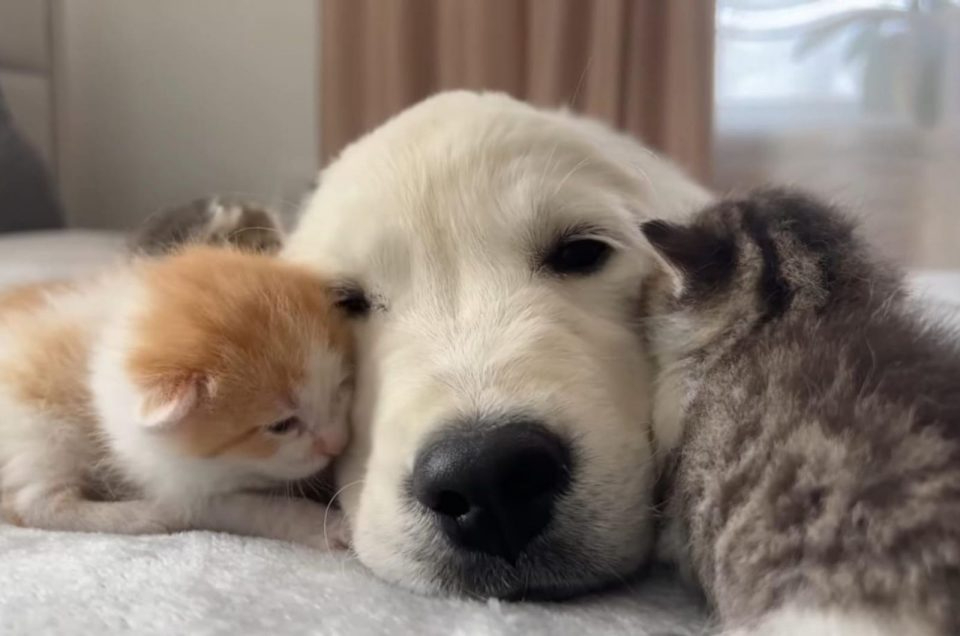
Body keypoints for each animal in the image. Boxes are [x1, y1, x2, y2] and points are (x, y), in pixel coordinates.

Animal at [0, 246, 352, 548]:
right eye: (281, 426)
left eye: (340, 389)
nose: (336, 445)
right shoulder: (174, 480)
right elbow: (255, 508)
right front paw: (327, 525)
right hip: (38, 426)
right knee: (31, 502)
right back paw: (148, 516)